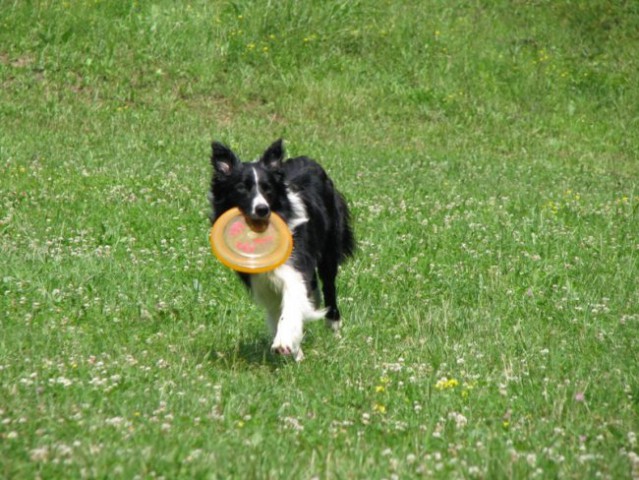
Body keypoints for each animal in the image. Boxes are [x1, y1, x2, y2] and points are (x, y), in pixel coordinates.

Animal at [212, 139, 358, 360]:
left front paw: (283, 342)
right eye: (241, 188)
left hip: (329, 249)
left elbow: (289, 309)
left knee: (329, 287)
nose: (262, 209)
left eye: (268, 189)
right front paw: (296, 351)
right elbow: (277, 313)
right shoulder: (263, 283)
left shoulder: (294, 269)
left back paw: (334, 327)